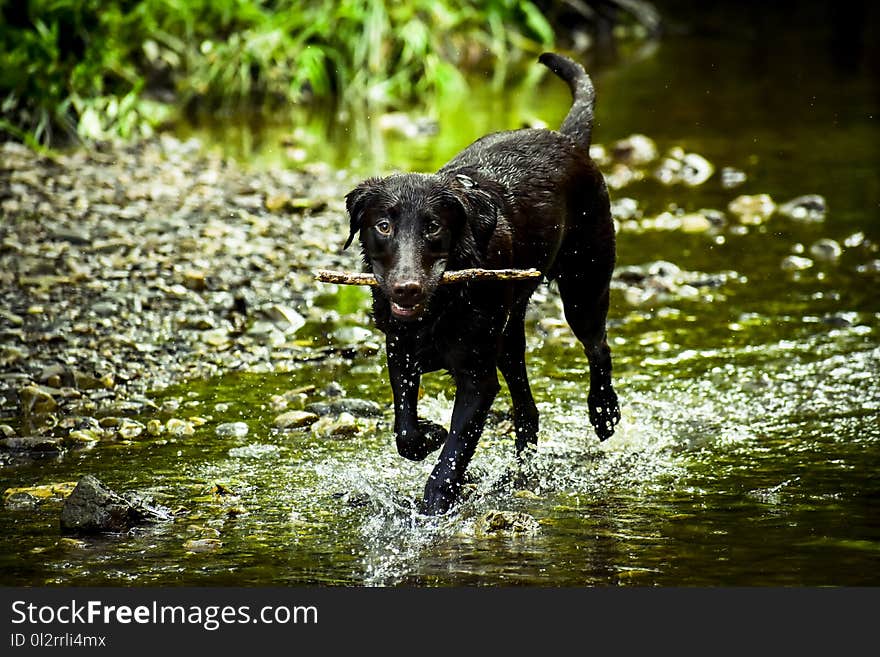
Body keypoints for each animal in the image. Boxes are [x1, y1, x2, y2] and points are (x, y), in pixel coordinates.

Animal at [344, 52, 620, 512]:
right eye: (383, 225)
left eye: (433, 227)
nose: (406, 289)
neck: (439, 308)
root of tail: (567, 140)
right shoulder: (399, 352)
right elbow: (406, 431)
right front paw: (429, 434)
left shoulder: (476, 378)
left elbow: (455, 450)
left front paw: (436, 501)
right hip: (509, 335)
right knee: (527, 408)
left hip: (584, 286)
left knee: (598, 347)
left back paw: (603, 413)